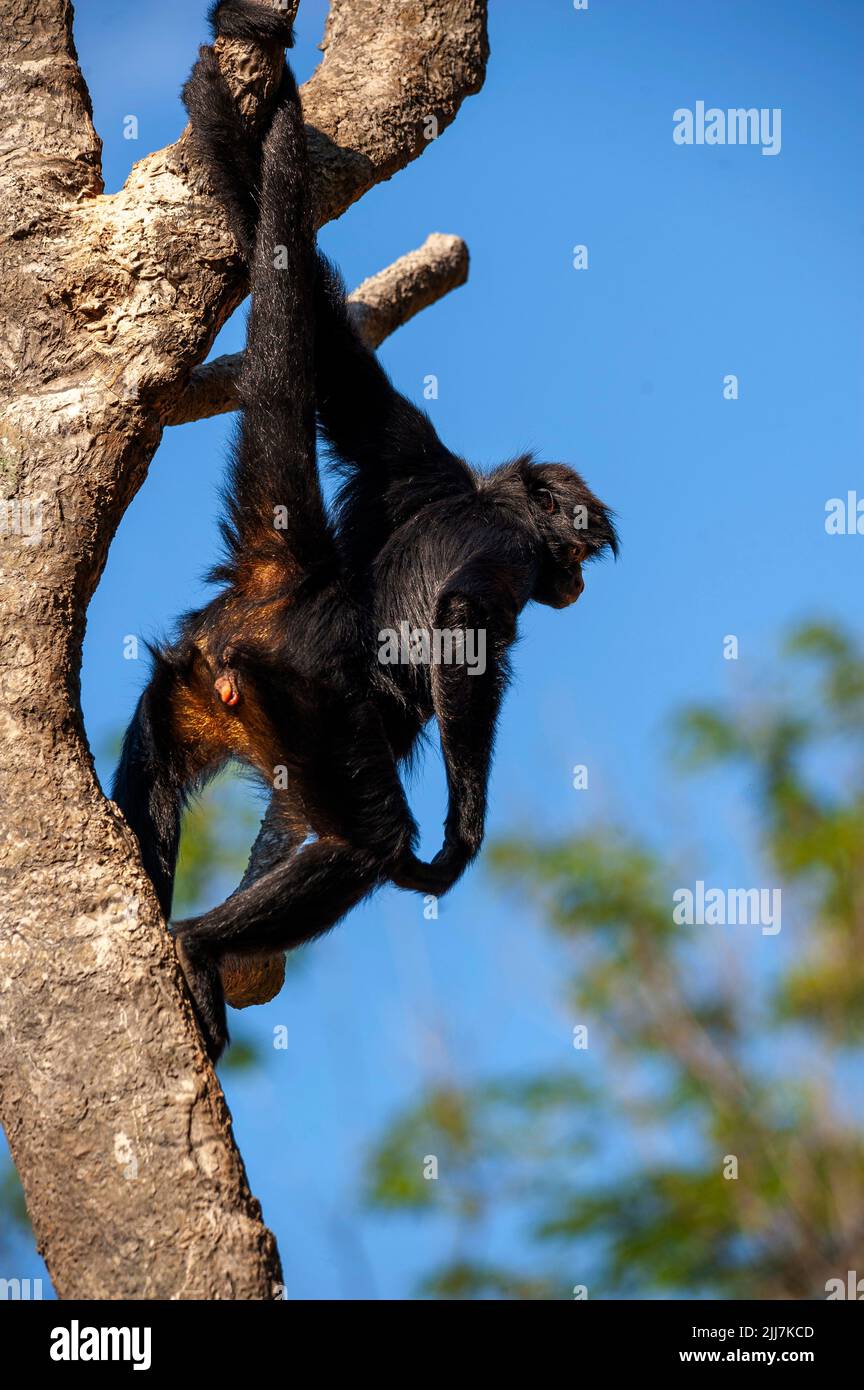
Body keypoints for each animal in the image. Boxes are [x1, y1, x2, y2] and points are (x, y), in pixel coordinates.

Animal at [112, 0, 618, 1061]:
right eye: (575, 555)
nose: (580, 583)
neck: (485, 493)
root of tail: (297, 588)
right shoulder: (501, 553)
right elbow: (466, 619)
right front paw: (460, 841)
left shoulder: (407, 444)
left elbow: (325, 333)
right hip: (299, 688)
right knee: (369, 840)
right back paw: (200, 945)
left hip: (192, 681)